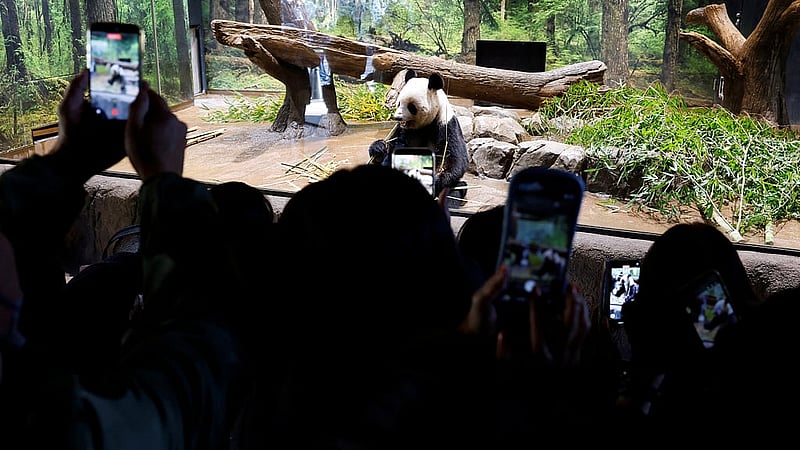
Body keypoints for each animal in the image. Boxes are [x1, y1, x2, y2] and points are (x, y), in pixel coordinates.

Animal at [368, 70, 469, 199]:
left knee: (457, 189)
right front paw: (379, 148)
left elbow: (454, 160)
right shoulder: (404, 131)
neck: (425, 125)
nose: (397, 117)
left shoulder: (446, 125)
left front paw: (432, 180)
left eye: (411, 107)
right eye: (398, 103)